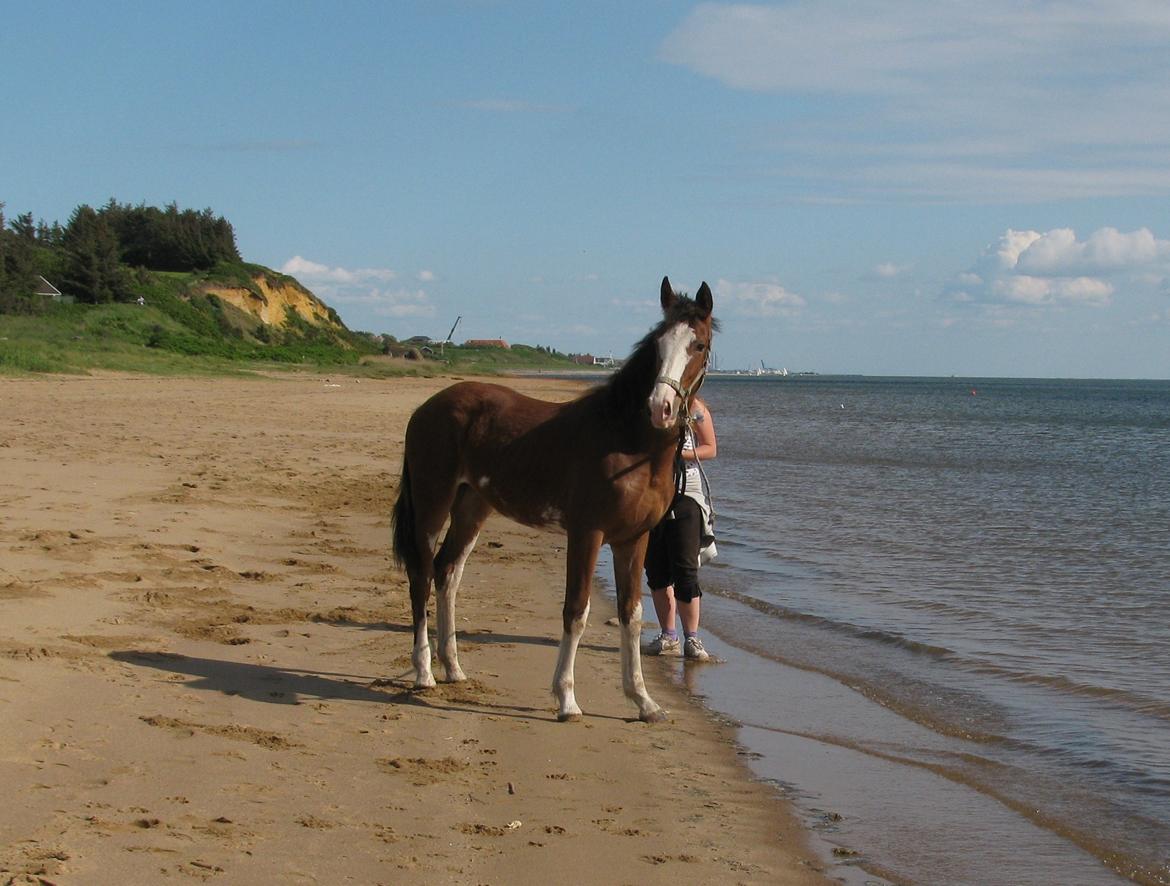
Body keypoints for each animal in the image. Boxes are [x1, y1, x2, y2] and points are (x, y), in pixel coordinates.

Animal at [390, 276, 711, 720]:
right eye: (658, 344)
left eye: (699, 344)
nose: (660, 407)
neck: (628, 443)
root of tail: (426, 408)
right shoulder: (587, 533)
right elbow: (576, 610)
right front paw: (566, 699)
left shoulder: (633, 539)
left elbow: (631, 613)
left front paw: (644, 701)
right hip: (431, 505)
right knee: (421, 576)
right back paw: (424, 674)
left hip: (472, 507)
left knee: (447, 573)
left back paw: (453, 668)